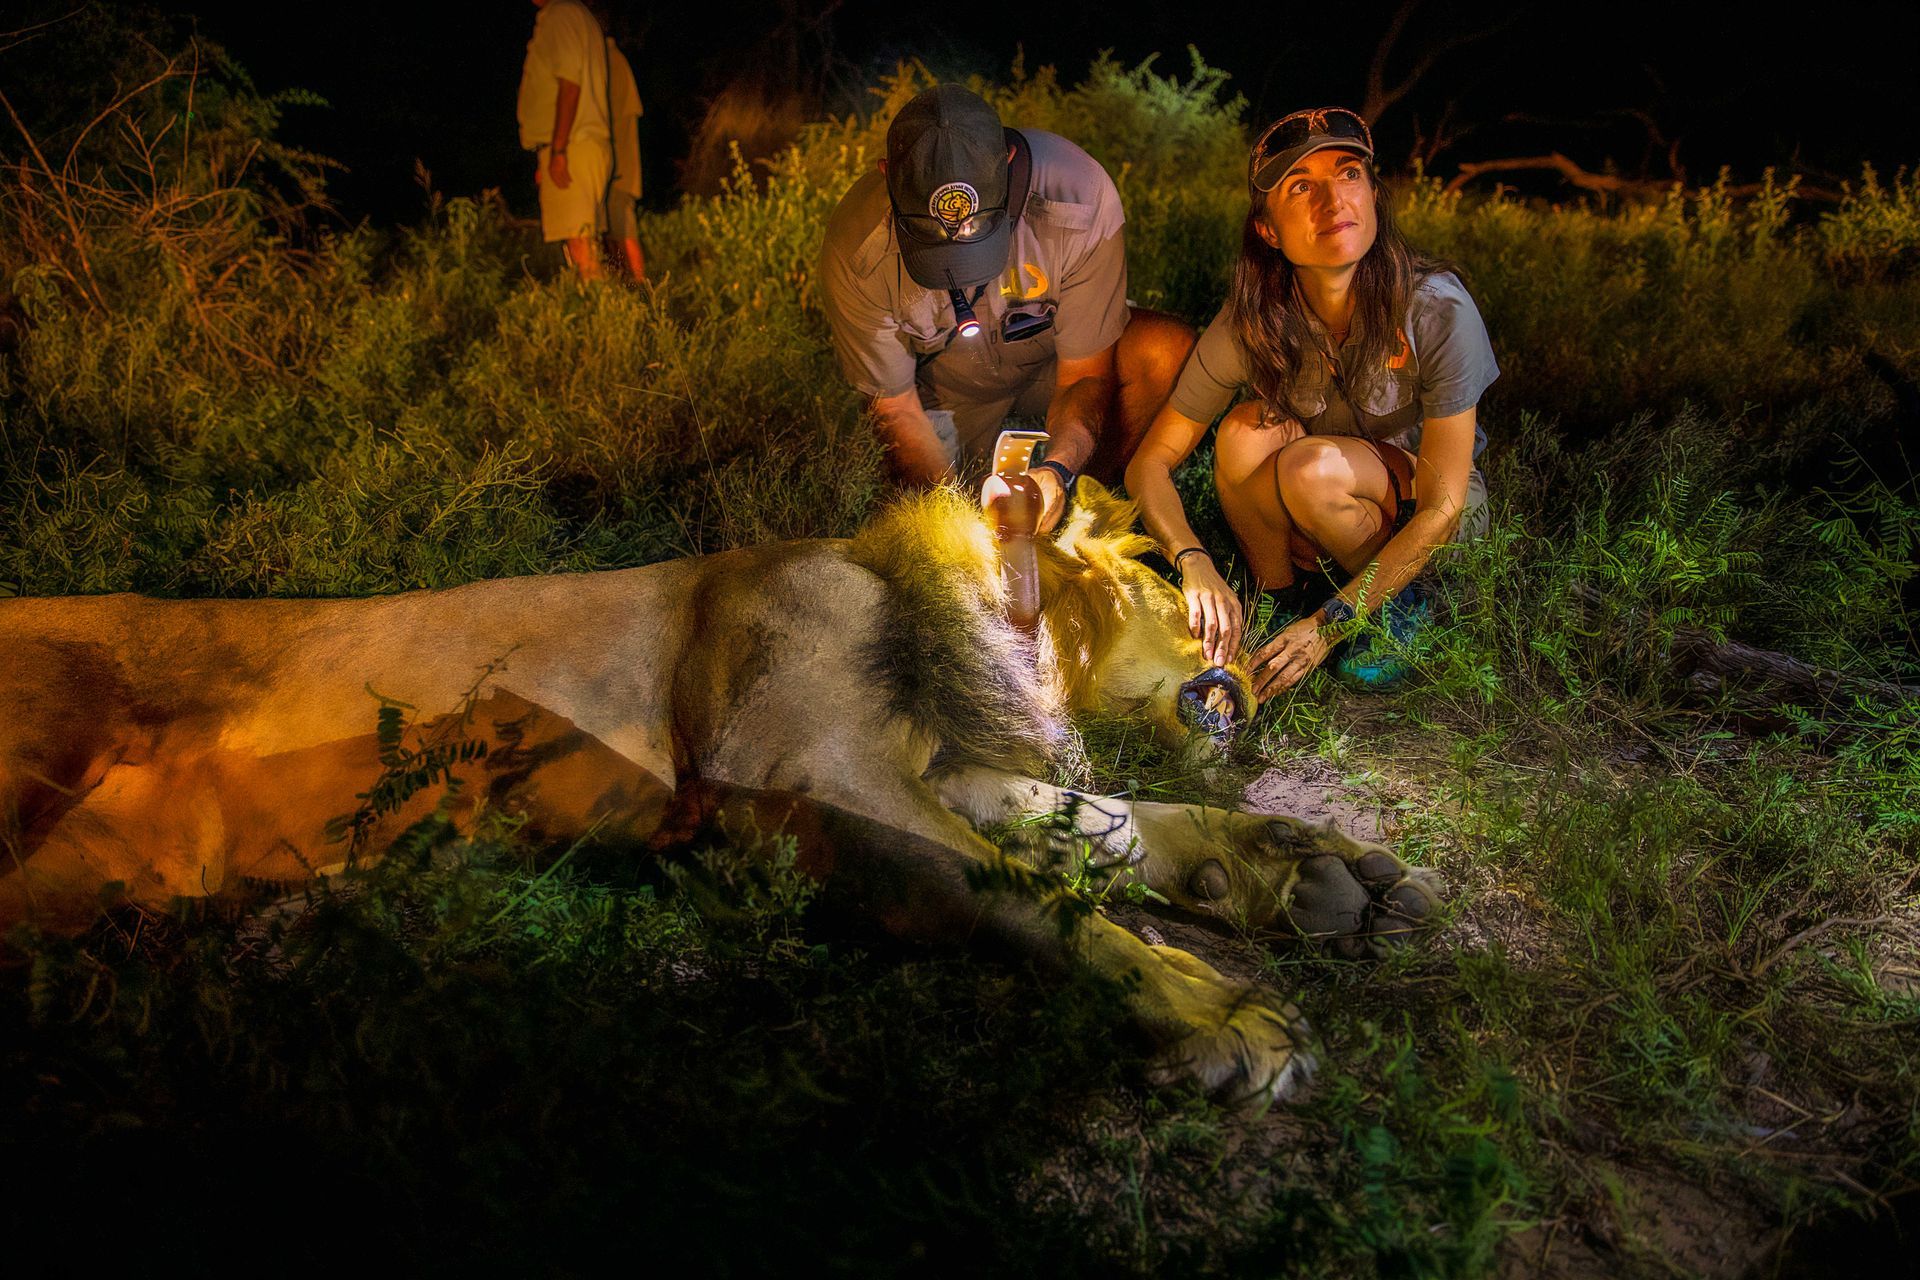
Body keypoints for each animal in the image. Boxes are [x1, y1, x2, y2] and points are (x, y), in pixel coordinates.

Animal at [0, 480, 1442, 1101]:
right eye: (1153, 567)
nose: (1243, 642)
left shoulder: (927, 765)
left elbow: (1101, 831)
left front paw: (1305, 873)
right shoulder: (793, 773)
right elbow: (1048, 899)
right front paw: (1230, 1016)